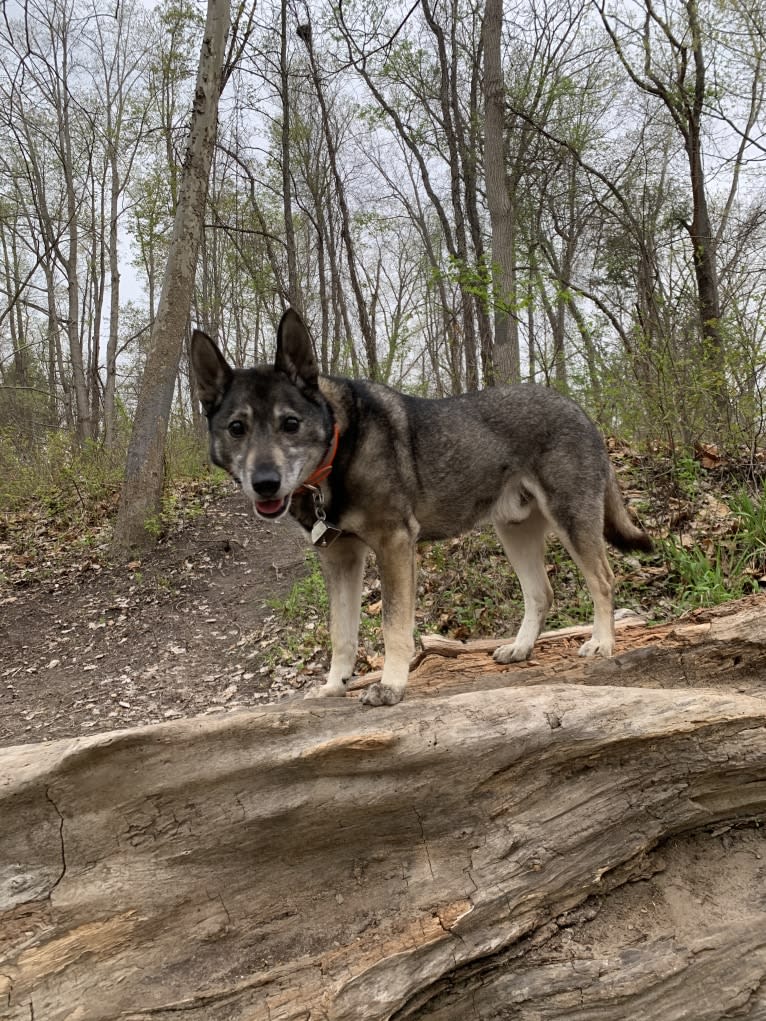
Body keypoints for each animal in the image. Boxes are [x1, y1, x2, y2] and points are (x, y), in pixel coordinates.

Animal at [192, 310, 653, 706]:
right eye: (237, 428)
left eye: (290, 423)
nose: (264, 483)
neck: (340, 445)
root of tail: (580, 411)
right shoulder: (340, 558)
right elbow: (341, 632)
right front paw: (334, 684)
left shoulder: (394, 545)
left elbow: (393, 624)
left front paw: (391, 685)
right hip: (514, 530)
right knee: (541, 593)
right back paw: (521, 648)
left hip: (570, 519)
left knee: (603, 580)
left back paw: (602, 642)